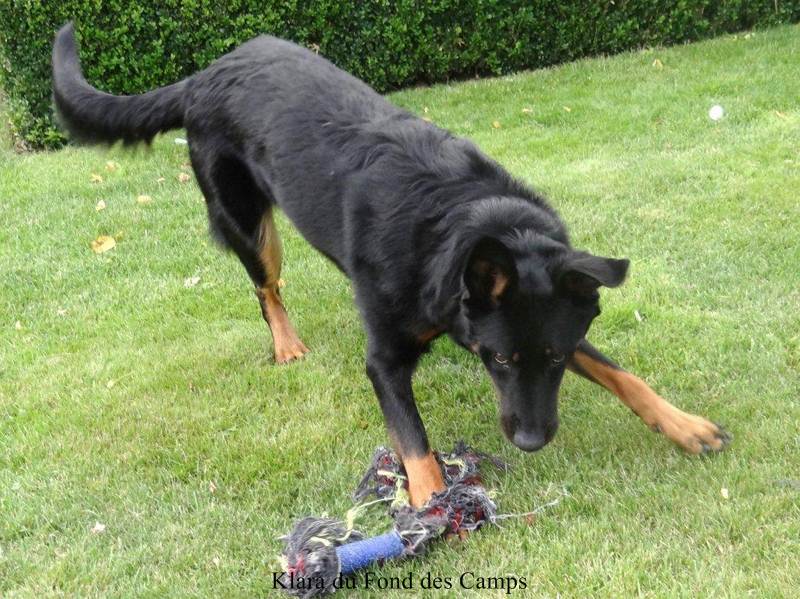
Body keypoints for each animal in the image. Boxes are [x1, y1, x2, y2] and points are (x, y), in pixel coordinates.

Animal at [52, 23, 729, 507]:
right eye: (499, 360)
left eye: (557, 359)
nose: (532, 443)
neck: (462, 224)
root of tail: (206, 72)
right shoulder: (384, 360)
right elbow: (412, 438)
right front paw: (431, 501)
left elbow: (622, 374)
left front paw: (684, 425)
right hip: (250, 225)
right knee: (267, 289)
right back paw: (286, 344)